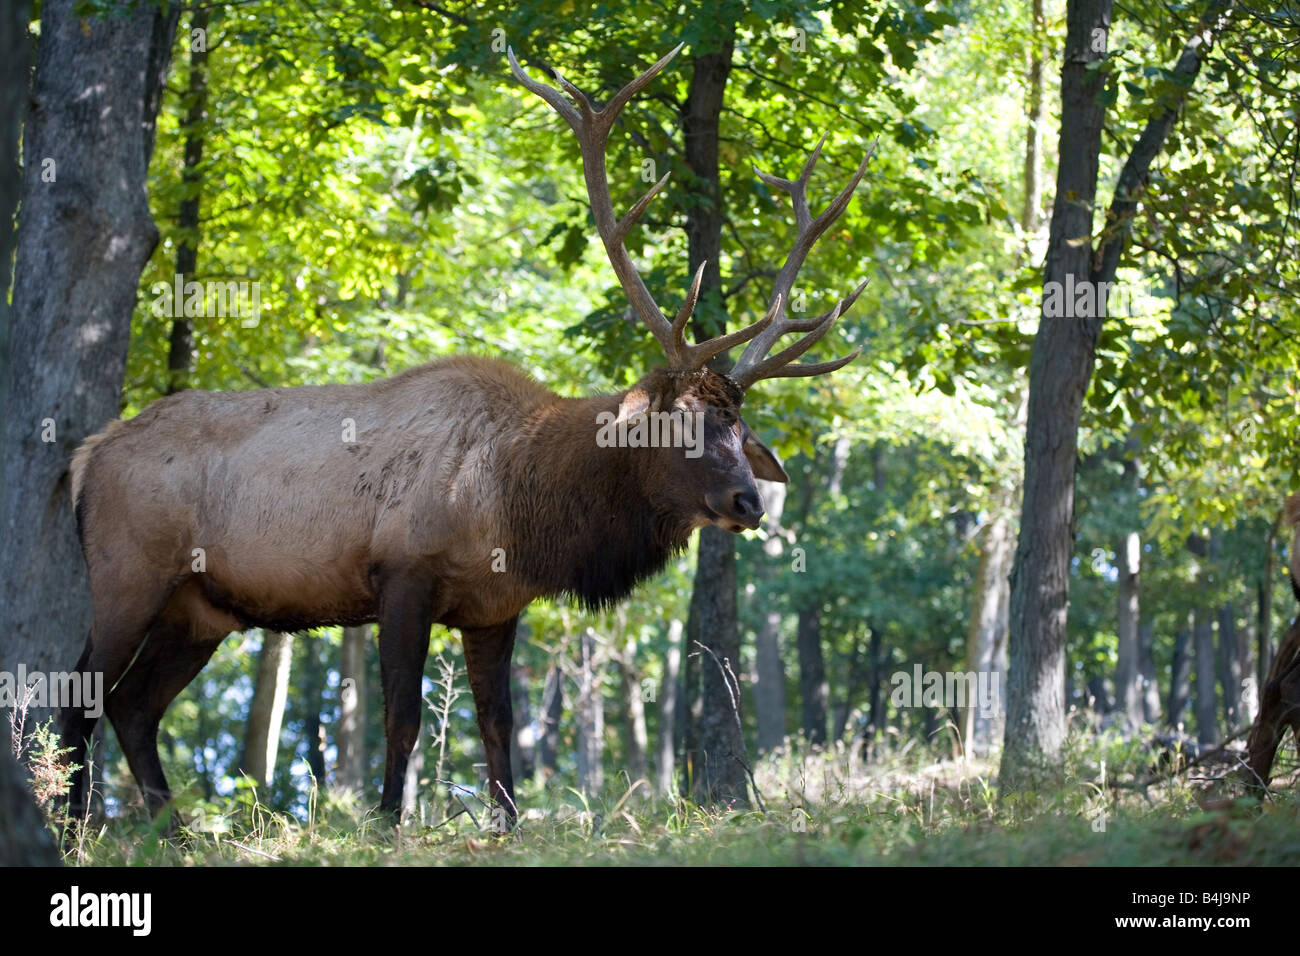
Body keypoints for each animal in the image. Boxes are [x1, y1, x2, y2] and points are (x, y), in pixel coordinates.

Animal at [58, 41, 873, 827]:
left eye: (743, 428)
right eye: (686, 422)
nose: (749, 503)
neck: (519, 504)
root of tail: (87, 456)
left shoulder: (495, 606)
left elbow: (496, 722)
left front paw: (506, 822)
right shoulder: (402, 572)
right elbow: (403, 718)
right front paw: (387, 821)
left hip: (200, 609)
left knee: (133, 705)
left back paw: (171, 832)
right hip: (130, 571)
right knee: (81, 693)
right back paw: (77, 827)